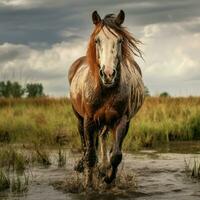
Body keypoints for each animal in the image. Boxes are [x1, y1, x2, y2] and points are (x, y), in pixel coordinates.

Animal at [68, 9, 145, 188]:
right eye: (97, 40)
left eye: (120, 40)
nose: (108, 74)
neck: (105, 90)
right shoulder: (89, 120)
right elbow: (90, 155)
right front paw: (89, 184)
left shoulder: (121, 120)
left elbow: (116, 155)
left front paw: (108, 178)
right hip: (80, 119)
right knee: (86, 145)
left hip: (108, 121)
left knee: (103, 140)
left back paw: (103, 168)